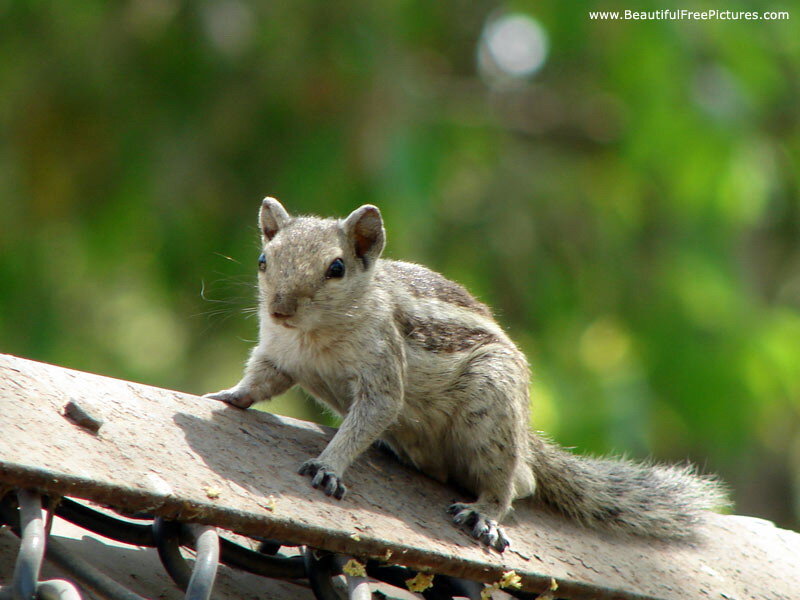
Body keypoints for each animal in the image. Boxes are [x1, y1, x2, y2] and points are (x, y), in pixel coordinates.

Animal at [206, 197, 728, 551]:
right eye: (263, 260)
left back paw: (485, 513)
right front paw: (225, 395)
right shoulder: (278, 354)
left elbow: (368, 416)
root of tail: (526, 438)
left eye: (336, 267)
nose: (280, 309)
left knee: (515, 485)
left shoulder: (382, 370)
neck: (312, 338)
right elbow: (261, 381)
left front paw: (329, 465)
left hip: (492, 406)